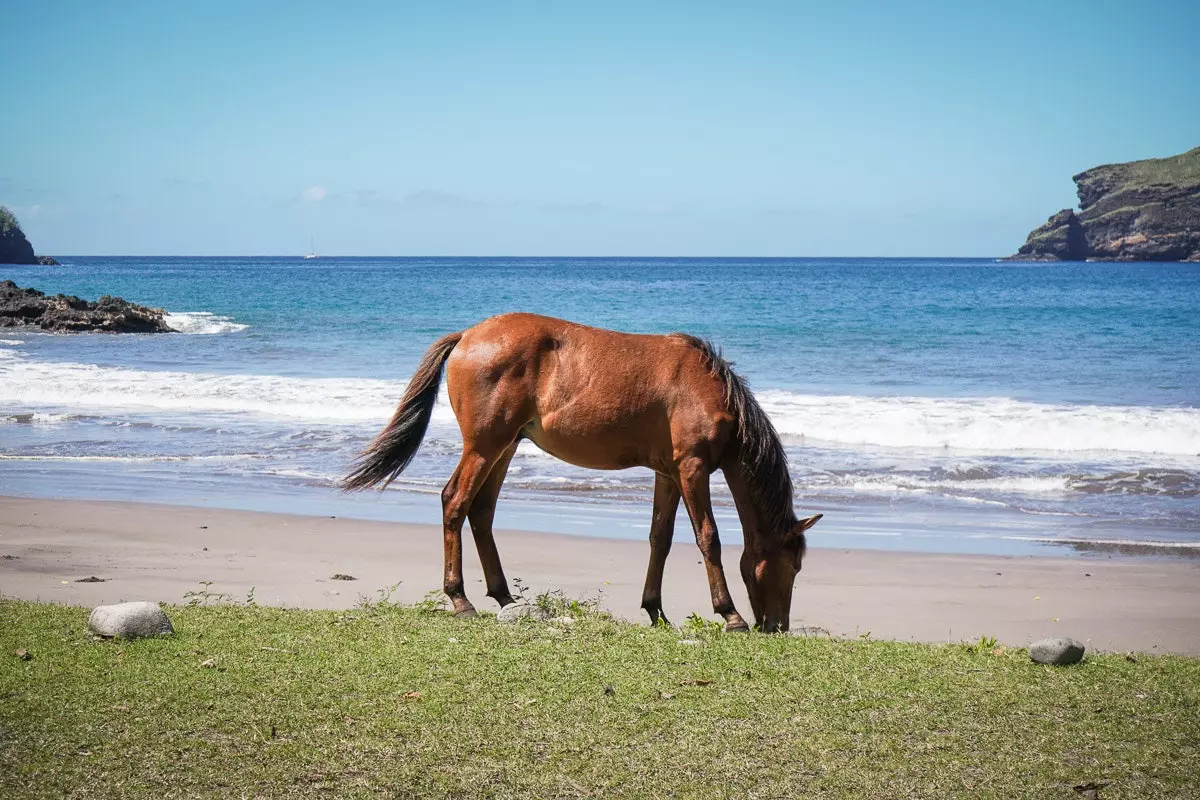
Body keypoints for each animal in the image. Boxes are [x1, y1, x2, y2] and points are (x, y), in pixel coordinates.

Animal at [343, 311, 820, 633]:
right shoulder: (692, 468)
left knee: (481, 512)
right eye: (792, 565)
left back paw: (503, 596)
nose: (777, 627)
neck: (705, 388)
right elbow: (709, 538)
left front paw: (656, 610)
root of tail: (467, 336)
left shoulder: (667, 474)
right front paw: (730, 614)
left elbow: (660, 539)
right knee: (455, 502)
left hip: (504, 448)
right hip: (484, 447)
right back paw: (461, 600)